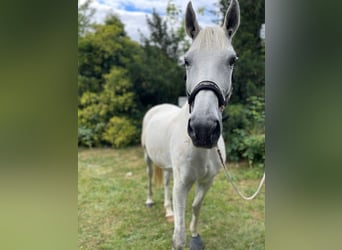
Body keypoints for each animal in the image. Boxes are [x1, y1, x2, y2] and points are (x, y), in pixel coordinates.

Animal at [140, 0, 239, 249]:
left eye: (232, 60)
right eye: (186, 60)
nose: (203, 129)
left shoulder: (207, 181)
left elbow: (195, 207)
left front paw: (195, 235)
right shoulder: (182, 184)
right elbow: (178, 235)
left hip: (167, 166)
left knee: (165, 182)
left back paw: (167, 210)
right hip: (147, 157)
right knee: (150, 178)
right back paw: (150, 201)